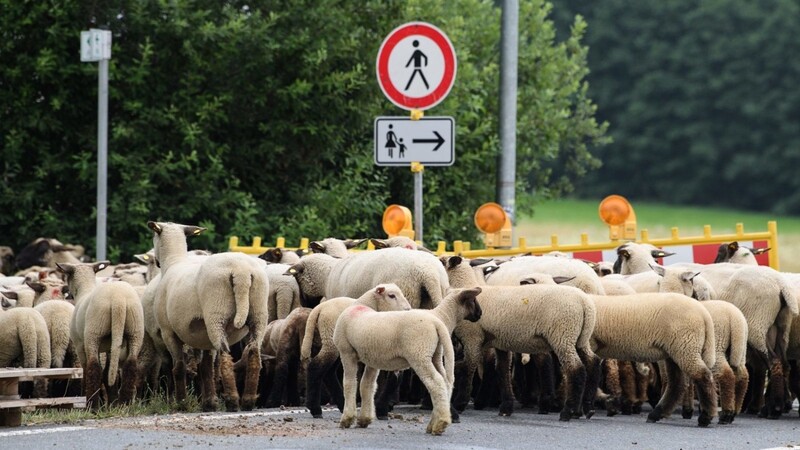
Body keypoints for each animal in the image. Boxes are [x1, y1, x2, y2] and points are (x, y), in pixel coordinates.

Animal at [57, 258, 145, 410]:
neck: (85, 290)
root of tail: (118, 300)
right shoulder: (110, 348)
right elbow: (108, 372)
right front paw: (112, 402)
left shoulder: (79, 345)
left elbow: (87, 370)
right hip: (135, 330)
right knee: (130, 365)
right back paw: (124, 404)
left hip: (94, 333)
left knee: (94, 368)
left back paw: (92, 406)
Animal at [150, 220, 272, 414]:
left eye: (154, 237)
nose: (156, 262)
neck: (174, 261)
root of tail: (242, 273)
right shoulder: (201, 336)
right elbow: (206, 367)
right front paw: (209, 403)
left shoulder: (168, 331)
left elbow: (179, 367)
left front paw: (182, 402)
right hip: (258, 312)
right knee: (253, 353)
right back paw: (248, 401)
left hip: (216, 313)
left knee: (225, 354)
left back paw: (232, 401)